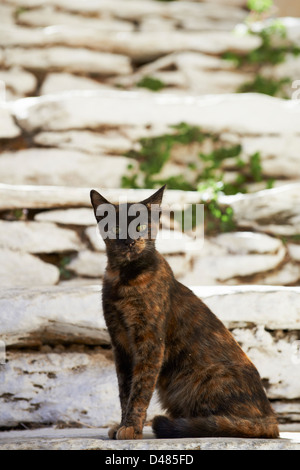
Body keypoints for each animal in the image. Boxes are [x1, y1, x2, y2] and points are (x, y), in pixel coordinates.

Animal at [89, 185, 278, 438]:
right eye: (116, 228)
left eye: (140, 226)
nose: (129, 242)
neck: (123, 278)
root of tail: (272, 417)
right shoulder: (120, 344)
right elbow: (124, 390)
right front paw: (122, 425)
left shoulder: (150, 342)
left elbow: (140, 390)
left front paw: (130, 428)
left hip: (204, 377)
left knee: (231, 423)